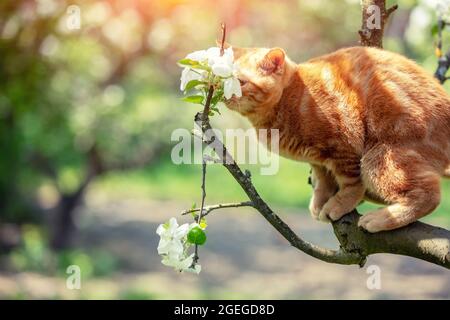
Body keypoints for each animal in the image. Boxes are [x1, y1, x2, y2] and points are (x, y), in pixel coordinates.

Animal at [225, 43, 450, 231]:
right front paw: (320, 200)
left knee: (429, 195)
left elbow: (351, 183)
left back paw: (380, 218)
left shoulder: (344, 146)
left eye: (240, 82)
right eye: (221, 80)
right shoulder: (317, 159)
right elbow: (324, 180)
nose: (225, 95)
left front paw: (340, 204)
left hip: (379, 158)